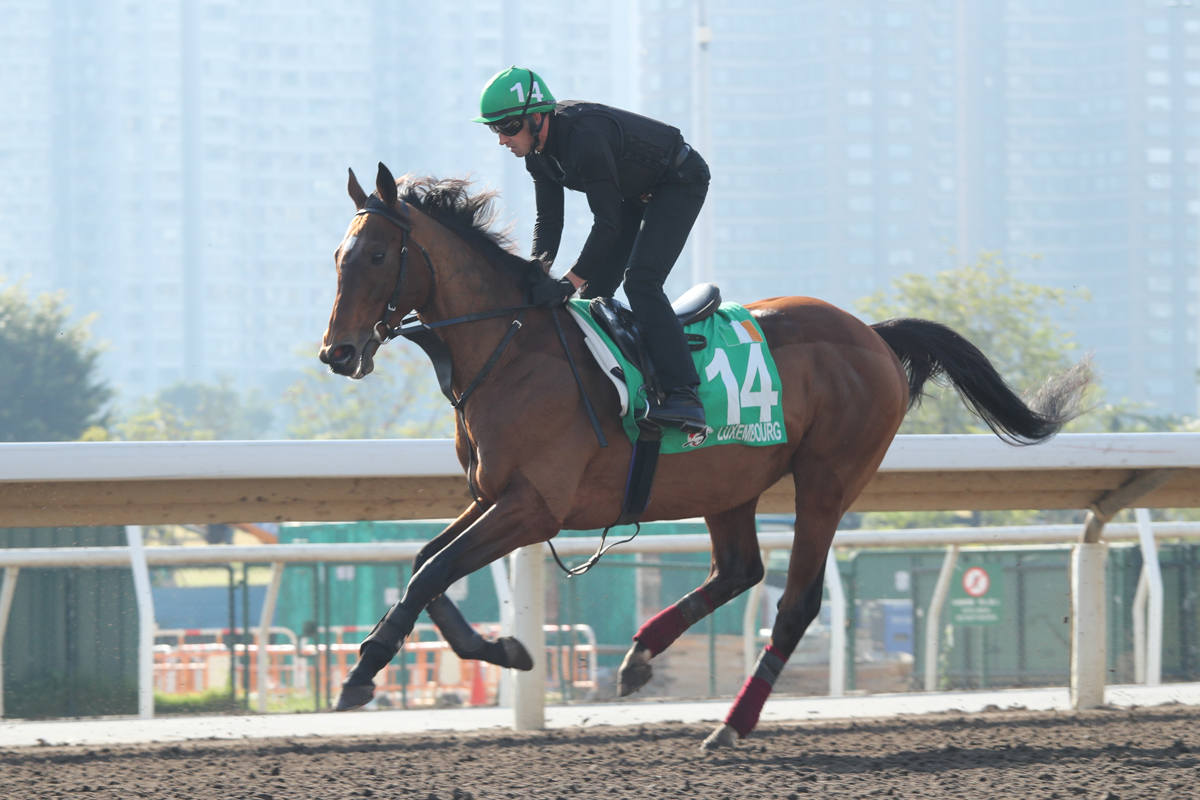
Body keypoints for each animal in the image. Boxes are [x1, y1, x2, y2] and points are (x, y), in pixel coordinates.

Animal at [319, 164, 1089, 753]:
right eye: (338, 257)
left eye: (379, 257)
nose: (338, 353)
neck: (511, 349)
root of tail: (871, 334)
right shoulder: (491, 495)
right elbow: (426, 563)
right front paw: (504, 651)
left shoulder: (535, 506)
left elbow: (434, 571)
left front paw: (362, 673)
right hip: (731, 483)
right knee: (739, 570)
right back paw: (638, 659)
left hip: (827, 479)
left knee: (797, 603)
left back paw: (731, 725)